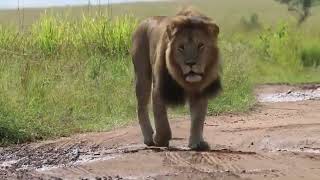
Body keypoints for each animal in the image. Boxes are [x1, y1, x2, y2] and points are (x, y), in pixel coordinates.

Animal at [131, 7, 221, 151]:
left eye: (200, 45)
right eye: (181, 47)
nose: (191, 63)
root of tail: (143, 22)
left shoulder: (200, 90)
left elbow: (198, 119)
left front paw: (197, 143)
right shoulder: (159, 87)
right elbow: (161, 119)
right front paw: (160, 140)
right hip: (142, 74)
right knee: (141, 106)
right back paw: (149, 138)